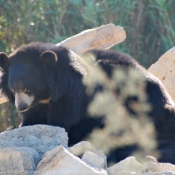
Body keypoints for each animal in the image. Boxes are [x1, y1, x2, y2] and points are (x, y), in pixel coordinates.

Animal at [0, 42, 175, 164]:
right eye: (14, 89)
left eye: (28, 89)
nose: (21, 106)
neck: (47, 93)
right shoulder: (38, 105)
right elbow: (32, 120)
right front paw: (18, 127)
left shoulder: (73, 95)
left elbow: (63, 120)